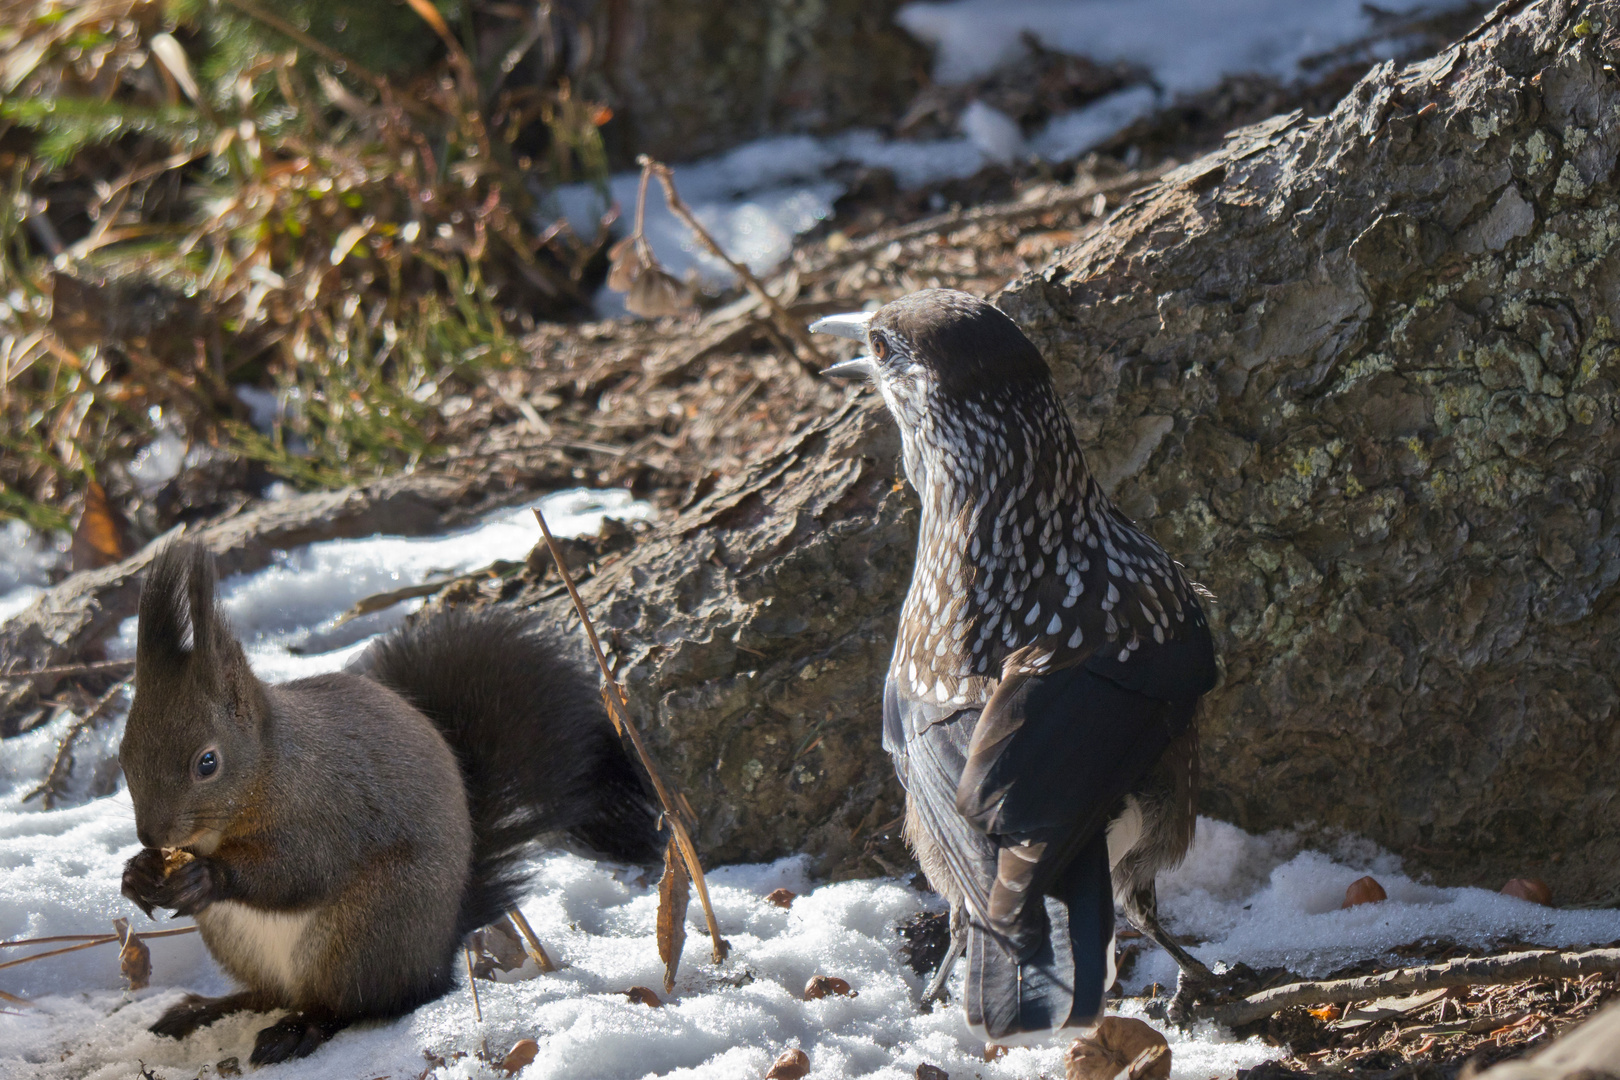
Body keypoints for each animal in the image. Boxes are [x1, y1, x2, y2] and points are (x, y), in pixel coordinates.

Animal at [114, 540, 660, 1062]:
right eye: (123, 753)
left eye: (207, 762)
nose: (151, 835)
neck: (268, 770)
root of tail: (436, 958)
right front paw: (137, 873)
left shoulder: (328, 808)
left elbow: (300, 870)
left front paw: (206, 877)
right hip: (244, 940)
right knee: (270, 994)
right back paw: (203, 1010)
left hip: (366, 931)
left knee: (351, 1004)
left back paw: (297, 1029)